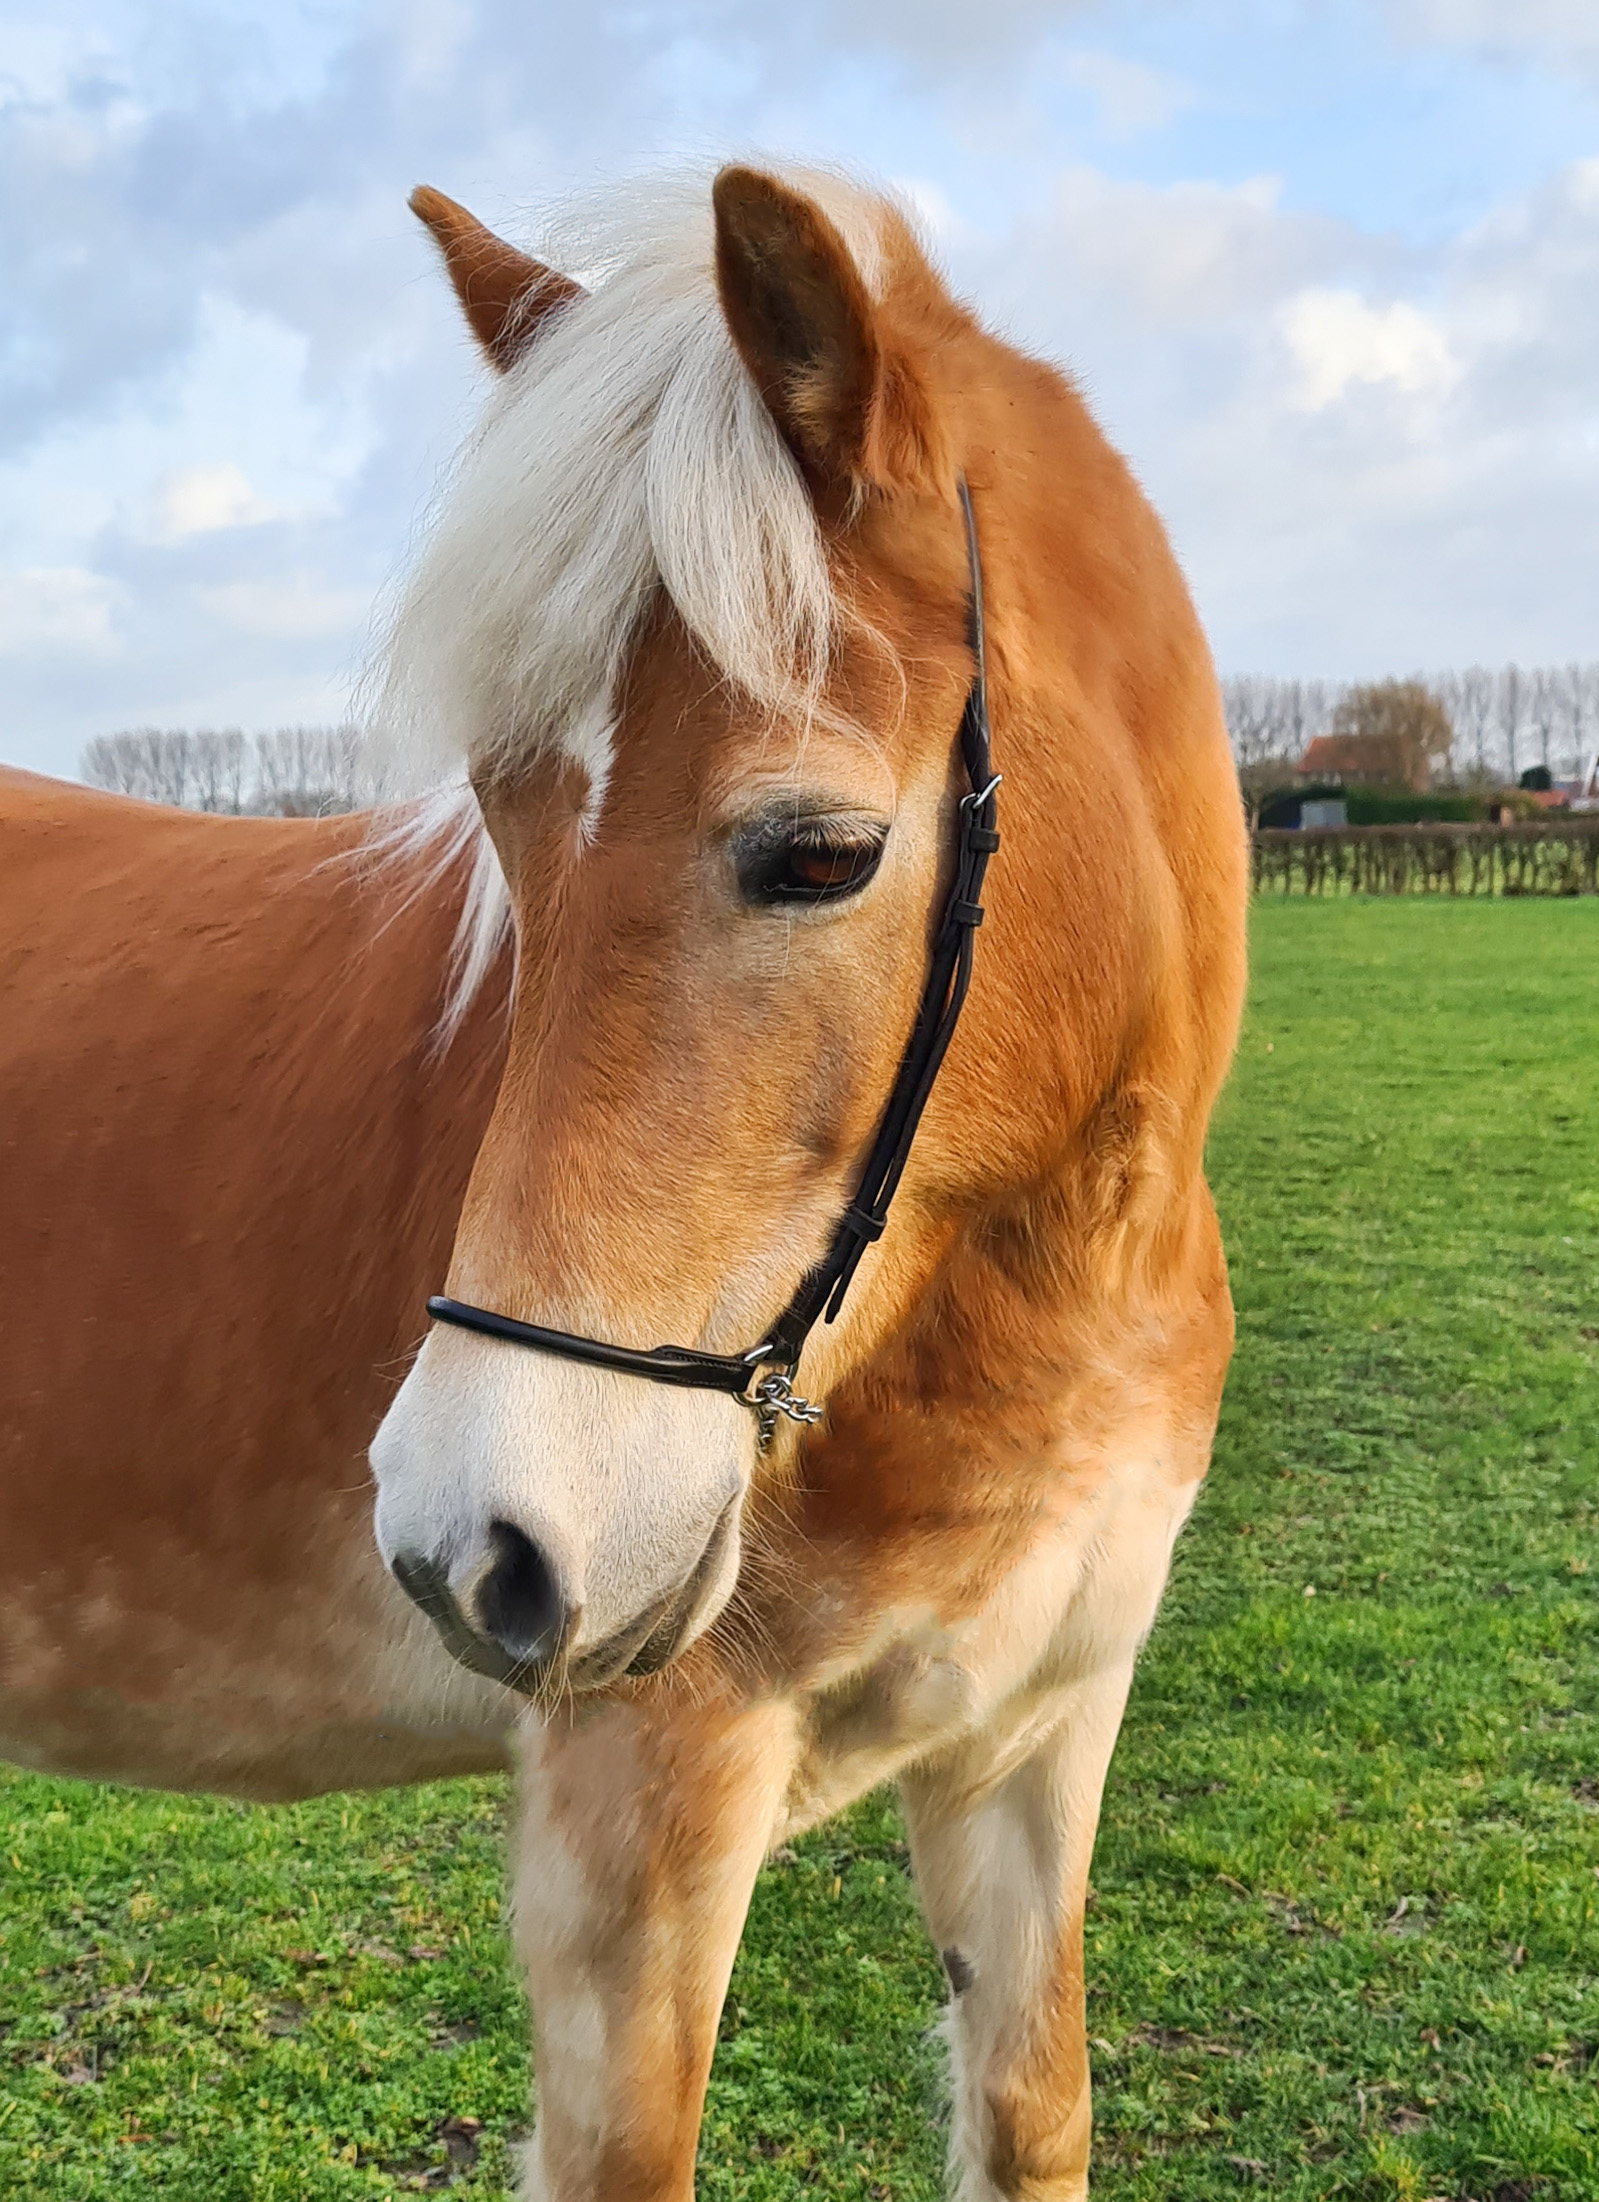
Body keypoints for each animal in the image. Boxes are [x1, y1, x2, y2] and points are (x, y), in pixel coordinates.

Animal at [0, 162, 1251, 2193]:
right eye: (505, 826)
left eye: (817, 853)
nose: (468, 1547)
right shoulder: (638, 1833)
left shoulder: (1032, 1751)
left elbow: (1033, 2107)